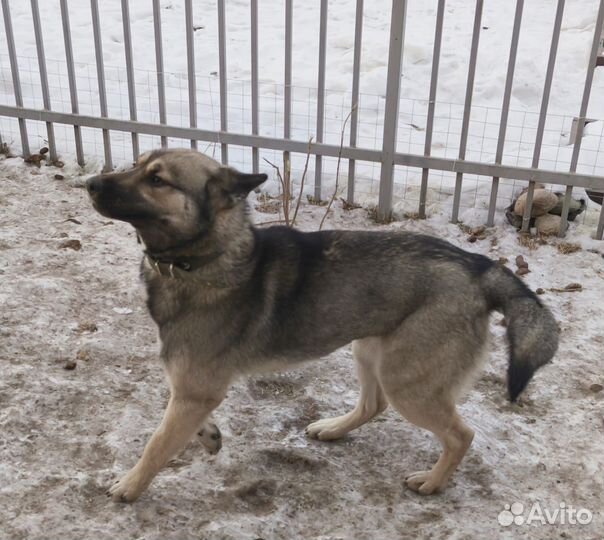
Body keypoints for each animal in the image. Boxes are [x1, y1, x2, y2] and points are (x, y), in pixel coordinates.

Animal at [85, 147, 556, 502]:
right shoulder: (192, 389)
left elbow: (157, 443)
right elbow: (180, 419)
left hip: (408, 381)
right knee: (372, 405)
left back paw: (433, 482)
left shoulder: (196, 388)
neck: (202, 258)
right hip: (371, 351)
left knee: (460, 435)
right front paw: (209, 435)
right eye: (136, 164)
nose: (90, 183)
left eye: (157, 180)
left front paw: (130, 486)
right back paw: (333, 428)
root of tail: (479, 267)